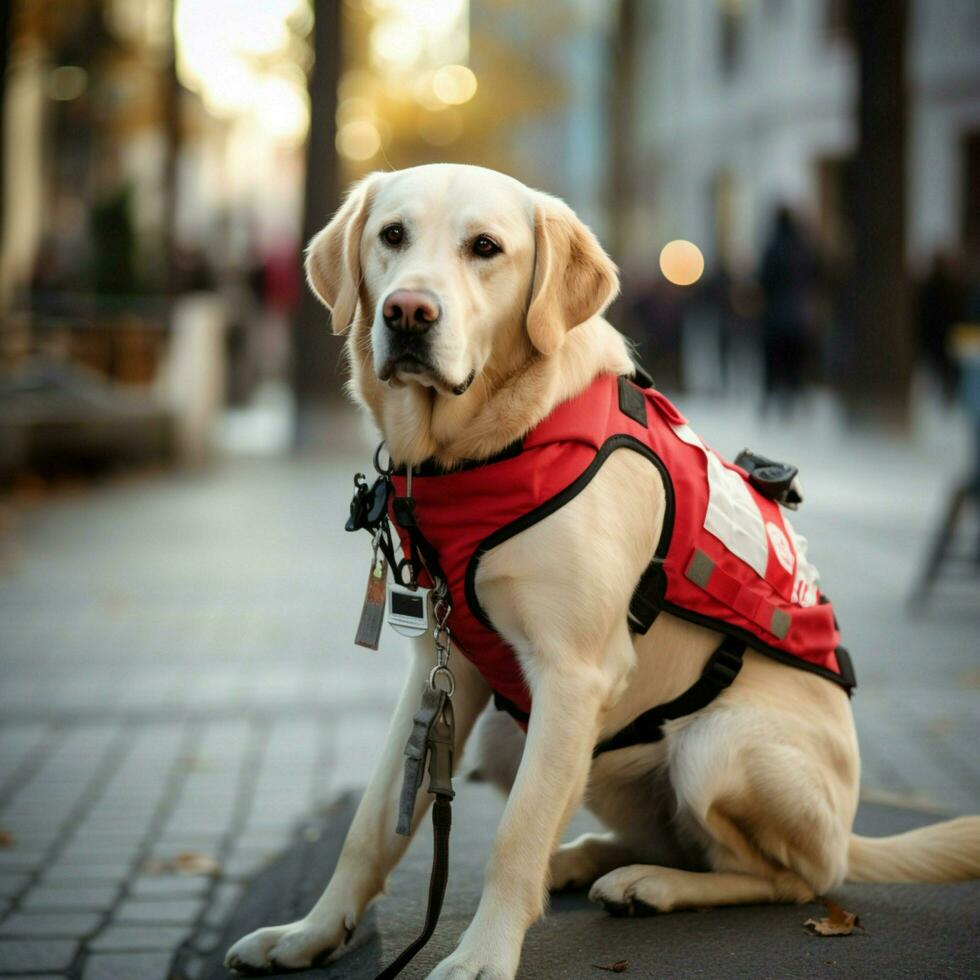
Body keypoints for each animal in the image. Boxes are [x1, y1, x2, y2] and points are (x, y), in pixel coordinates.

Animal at [226, 163, 980, 980]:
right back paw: (588, 861)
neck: (483, 451)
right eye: (392, 235)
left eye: (485, 247)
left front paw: (482, 955)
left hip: (717, 748)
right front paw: (310, 932)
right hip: (519, 741)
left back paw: (650, 884)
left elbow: (517, 833)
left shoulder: (574, 672)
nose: (407, 312)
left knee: (788, 878)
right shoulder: (441, 668)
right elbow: (370, 824)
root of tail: (847, 833)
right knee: (676, 840)